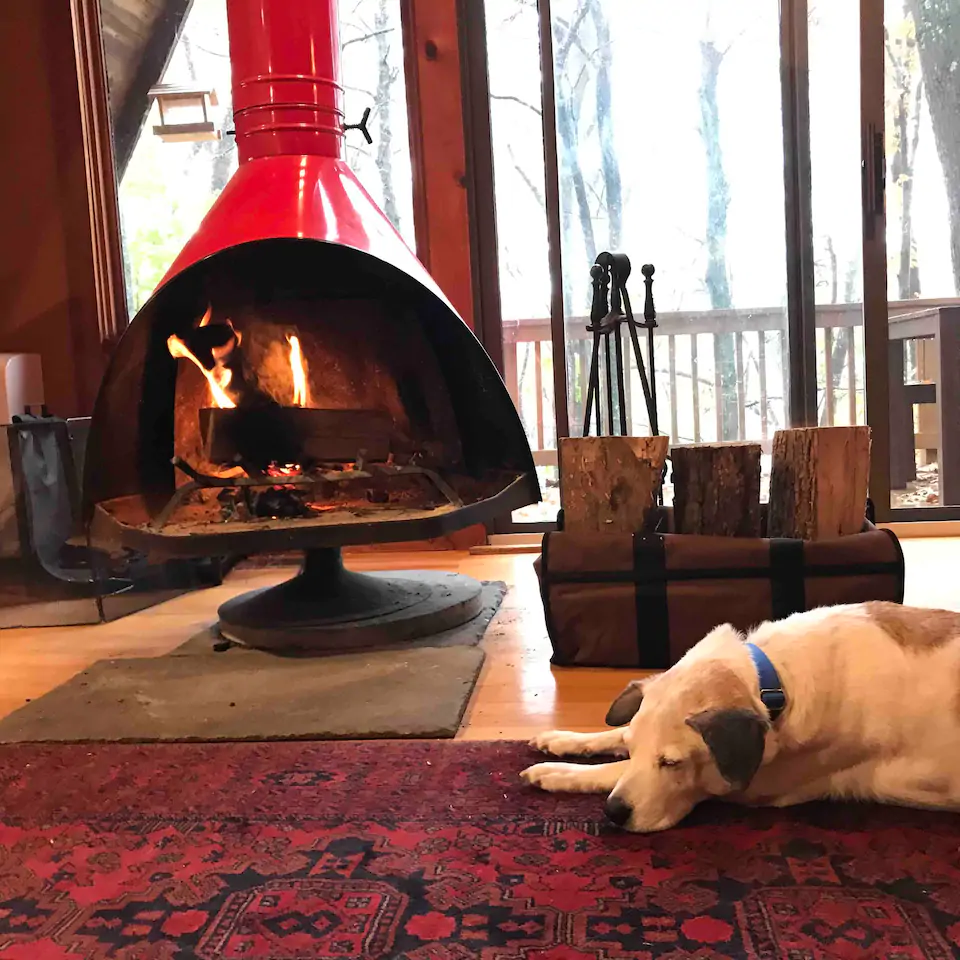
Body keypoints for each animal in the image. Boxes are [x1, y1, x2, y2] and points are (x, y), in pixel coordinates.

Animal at [520, 600, 960, 832]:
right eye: (635, 746)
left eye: (672, 763)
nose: (613, 814)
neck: (773, 682)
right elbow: (618, 735)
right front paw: (563, 739)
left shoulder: (749, 784)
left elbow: (614, 771)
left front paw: (557, 773)